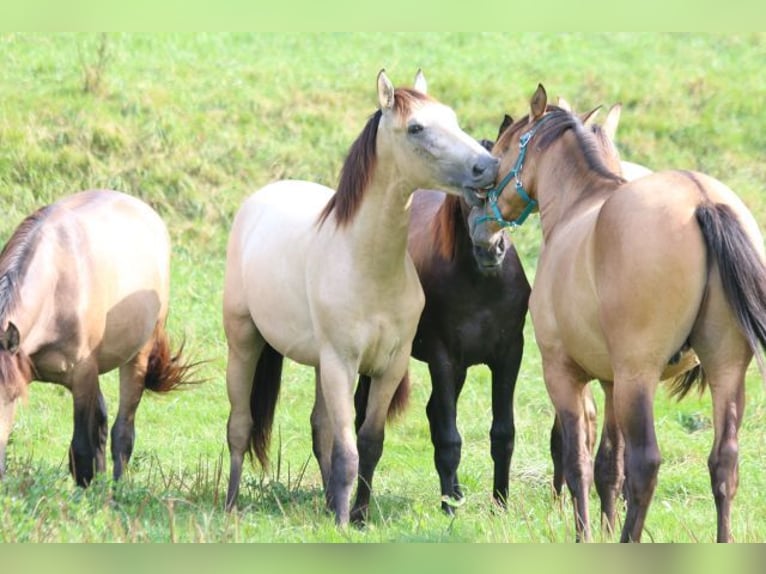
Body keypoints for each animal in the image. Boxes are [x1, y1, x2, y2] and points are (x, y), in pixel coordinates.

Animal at [0, 192, 195, 486]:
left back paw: (117, 488)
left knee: (122, 433)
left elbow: (81, 448)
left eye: (12, 395)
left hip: (137, 357)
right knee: (102, 424)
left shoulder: (82, 375)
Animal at [222, 68, 500, 528]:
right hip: (244, 343)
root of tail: (258, 201)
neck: (367, 266)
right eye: (416, 127)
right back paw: (229, 505)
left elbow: (368, 443)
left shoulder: (389, 366)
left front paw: (358, 514)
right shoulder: (341, 364)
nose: (488, 166)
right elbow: (347, 450)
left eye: (452, 117)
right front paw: (341, 519)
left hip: (317, 364)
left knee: (319, 430)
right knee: (240, 426)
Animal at [484, 85, 766, 544]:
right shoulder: (611, 382)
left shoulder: (564, 374)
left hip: (640, 377)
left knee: (646, 463)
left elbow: (578, 462)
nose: (482, 211)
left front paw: (585, 534)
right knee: (724, 461)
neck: (579, 204)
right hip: (724, 369)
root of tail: (701, 198)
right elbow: (607, 466)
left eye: (502, 150)